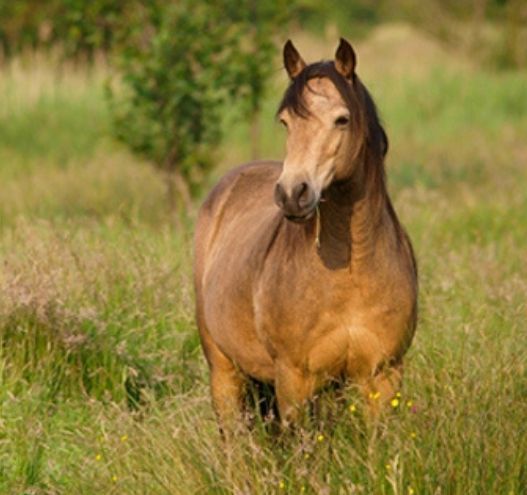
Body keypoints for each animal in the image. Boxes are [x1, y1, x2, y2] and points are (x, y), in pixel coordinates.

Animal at [192, 37, 418, 430]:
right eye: (286, 121)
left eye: (342, 119)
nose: (291, 193)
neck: (353, 269)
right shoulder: (293, 380)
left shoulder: (383, 376)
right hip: (223, 372)